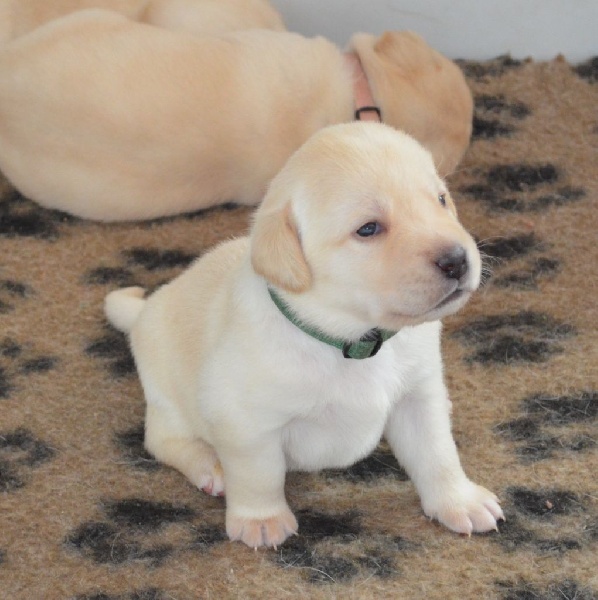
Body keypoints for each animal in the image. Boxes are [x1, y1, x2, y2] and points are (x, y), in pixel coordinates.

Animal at [104, 122, 503, 548]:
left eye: (441, 199)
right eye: (368, 229)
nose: (458, 260)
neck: (352, 340)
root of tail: (146, 308)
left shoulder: (419, 397)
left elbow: (438, 454)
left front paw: (459, 501)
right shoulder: (247, 422)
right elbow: (259, 474)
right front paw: (261, 519)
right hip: (166, 394)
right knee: (163, 440)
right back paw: (210, 466)